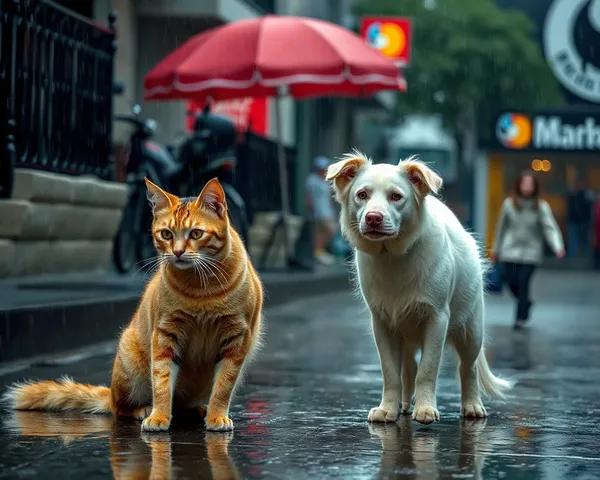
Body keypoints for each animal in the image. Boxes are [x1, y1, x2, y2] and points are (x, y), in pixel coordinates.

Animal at [4, 178, 262, 434]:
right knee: (121, 409)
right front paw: (159, 416)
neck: (201, 289)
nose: (177, 252)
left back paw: (197, 410)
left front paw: (217, 415)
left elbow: (223, 386)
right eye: (166, 234)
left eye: (196, 233)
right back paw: (145, 410)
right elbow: (161, 381)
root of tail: (111, 393)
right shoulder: (164, 335)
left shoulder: (237, 339)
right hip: (130, 367)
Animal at [326, 150, 512, 424]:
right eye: (362, 195)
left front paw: (425, 409)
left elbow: (428, 369)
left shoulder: (437, 318)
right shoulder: (381, 322)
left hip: (471, 330)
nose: (373, 218)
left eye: (396, 196)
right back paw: (403, 405)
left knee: (468, 367)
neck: (393, 257)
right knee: (408, 368)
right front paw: (387, 409)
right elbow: (391, 372)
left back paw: (472, 406)